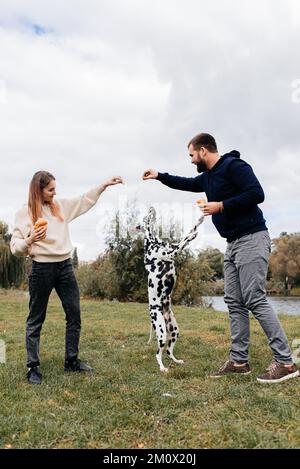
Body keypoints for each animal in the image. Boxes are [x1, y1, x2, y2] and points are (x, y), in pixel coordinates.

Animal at [137, 207, 205, 372]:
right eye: (145, 217)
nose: (151, 208)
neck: (153, 241)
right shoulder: (172, 252)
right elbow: (183, 242)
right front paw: (192, 235)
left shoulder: (171, 248)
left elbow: (188, 232)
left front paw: (198, 223)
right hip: (161, 332)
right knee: (158, 353)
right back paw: (162, 368)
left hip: (174, 331)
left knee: (168, 351)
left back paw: (176, 361)